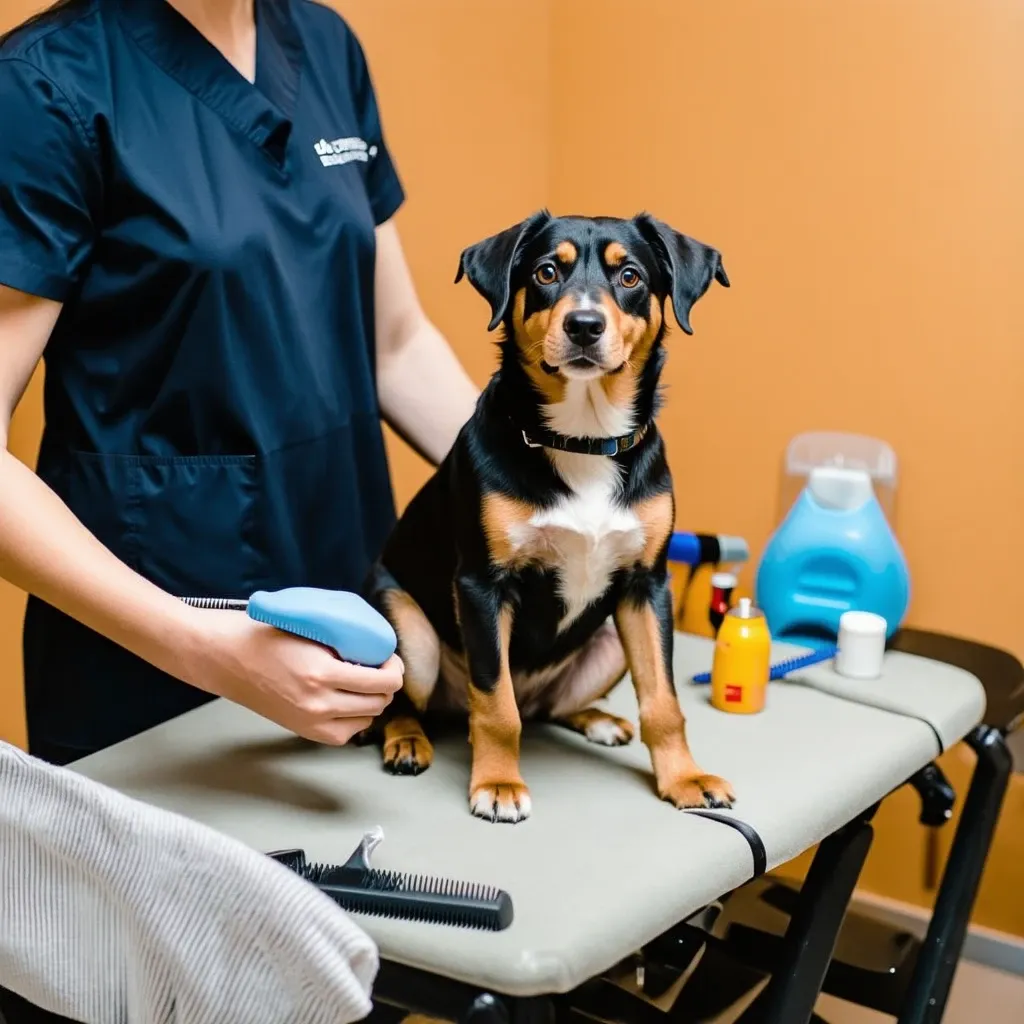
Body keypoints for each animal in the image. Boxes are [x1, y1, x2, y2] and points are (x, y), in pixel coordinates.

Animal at [364, 209, 733, 823]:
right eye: (545, 272)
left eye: (629, 276)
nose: (584, 325)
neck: (584, 439)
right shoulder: (483, 585)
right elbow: (495, 705)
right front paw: (497, 783)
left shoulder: (647, 586)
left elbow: (663, 701)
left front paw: (684, 778)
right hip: (411, 635)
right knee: (410, 703)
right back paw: (408, 740)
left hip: (609, 643)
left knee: (547, 708)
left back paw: (598, 719)